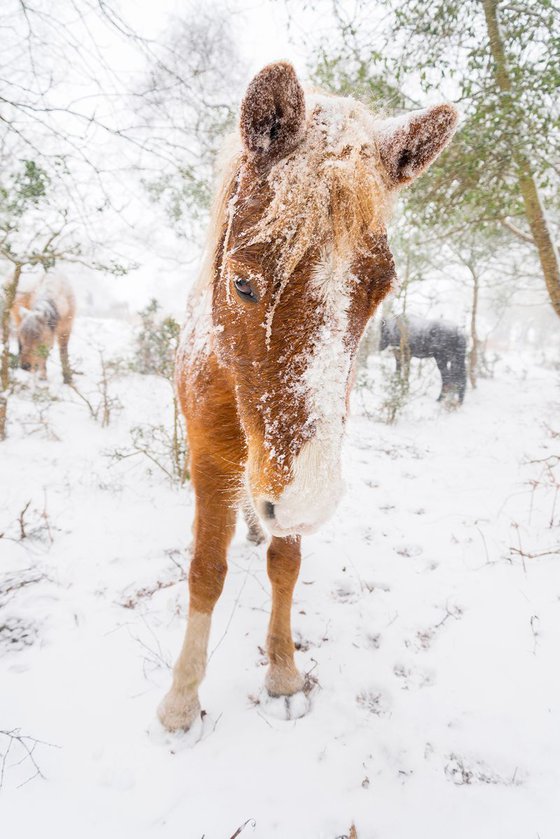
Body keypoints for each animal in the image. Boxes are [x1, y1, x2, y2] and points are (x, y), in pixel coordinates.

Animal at [159, 62, 460, 732]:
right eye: (243, 281)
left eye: (381, 288)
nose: (308, 501)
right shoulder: (212, 458)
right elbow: (206, 570)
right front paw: (182, 698)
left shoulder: (298, 467)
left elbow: (285, 565)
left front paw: (282, 670)